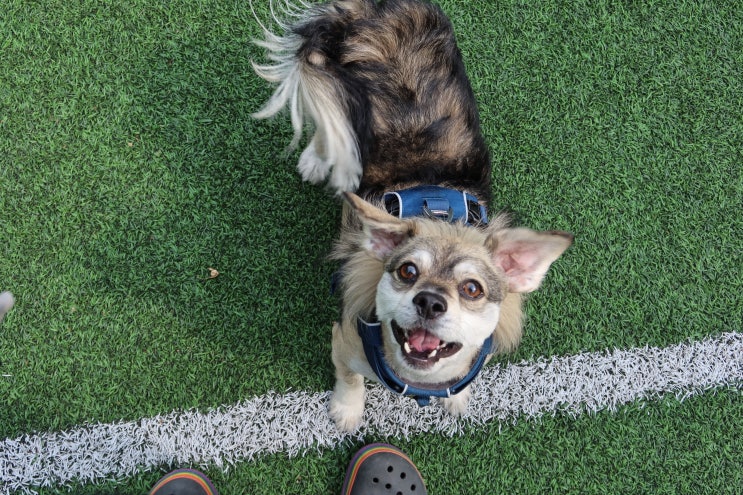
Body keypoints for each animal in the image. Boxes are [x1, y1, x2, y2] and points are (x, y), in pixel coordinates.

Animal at [253, 0, 572, 430]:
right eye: (407, 271)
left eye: (473, 289)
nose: (430, 302)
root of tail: (372, 9)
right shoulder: (343, 341)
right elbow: (349, 379)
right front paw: (347, 412)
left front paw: (458, 400)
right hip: (337, 86)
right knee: (325, 120)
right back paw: (317, 161)